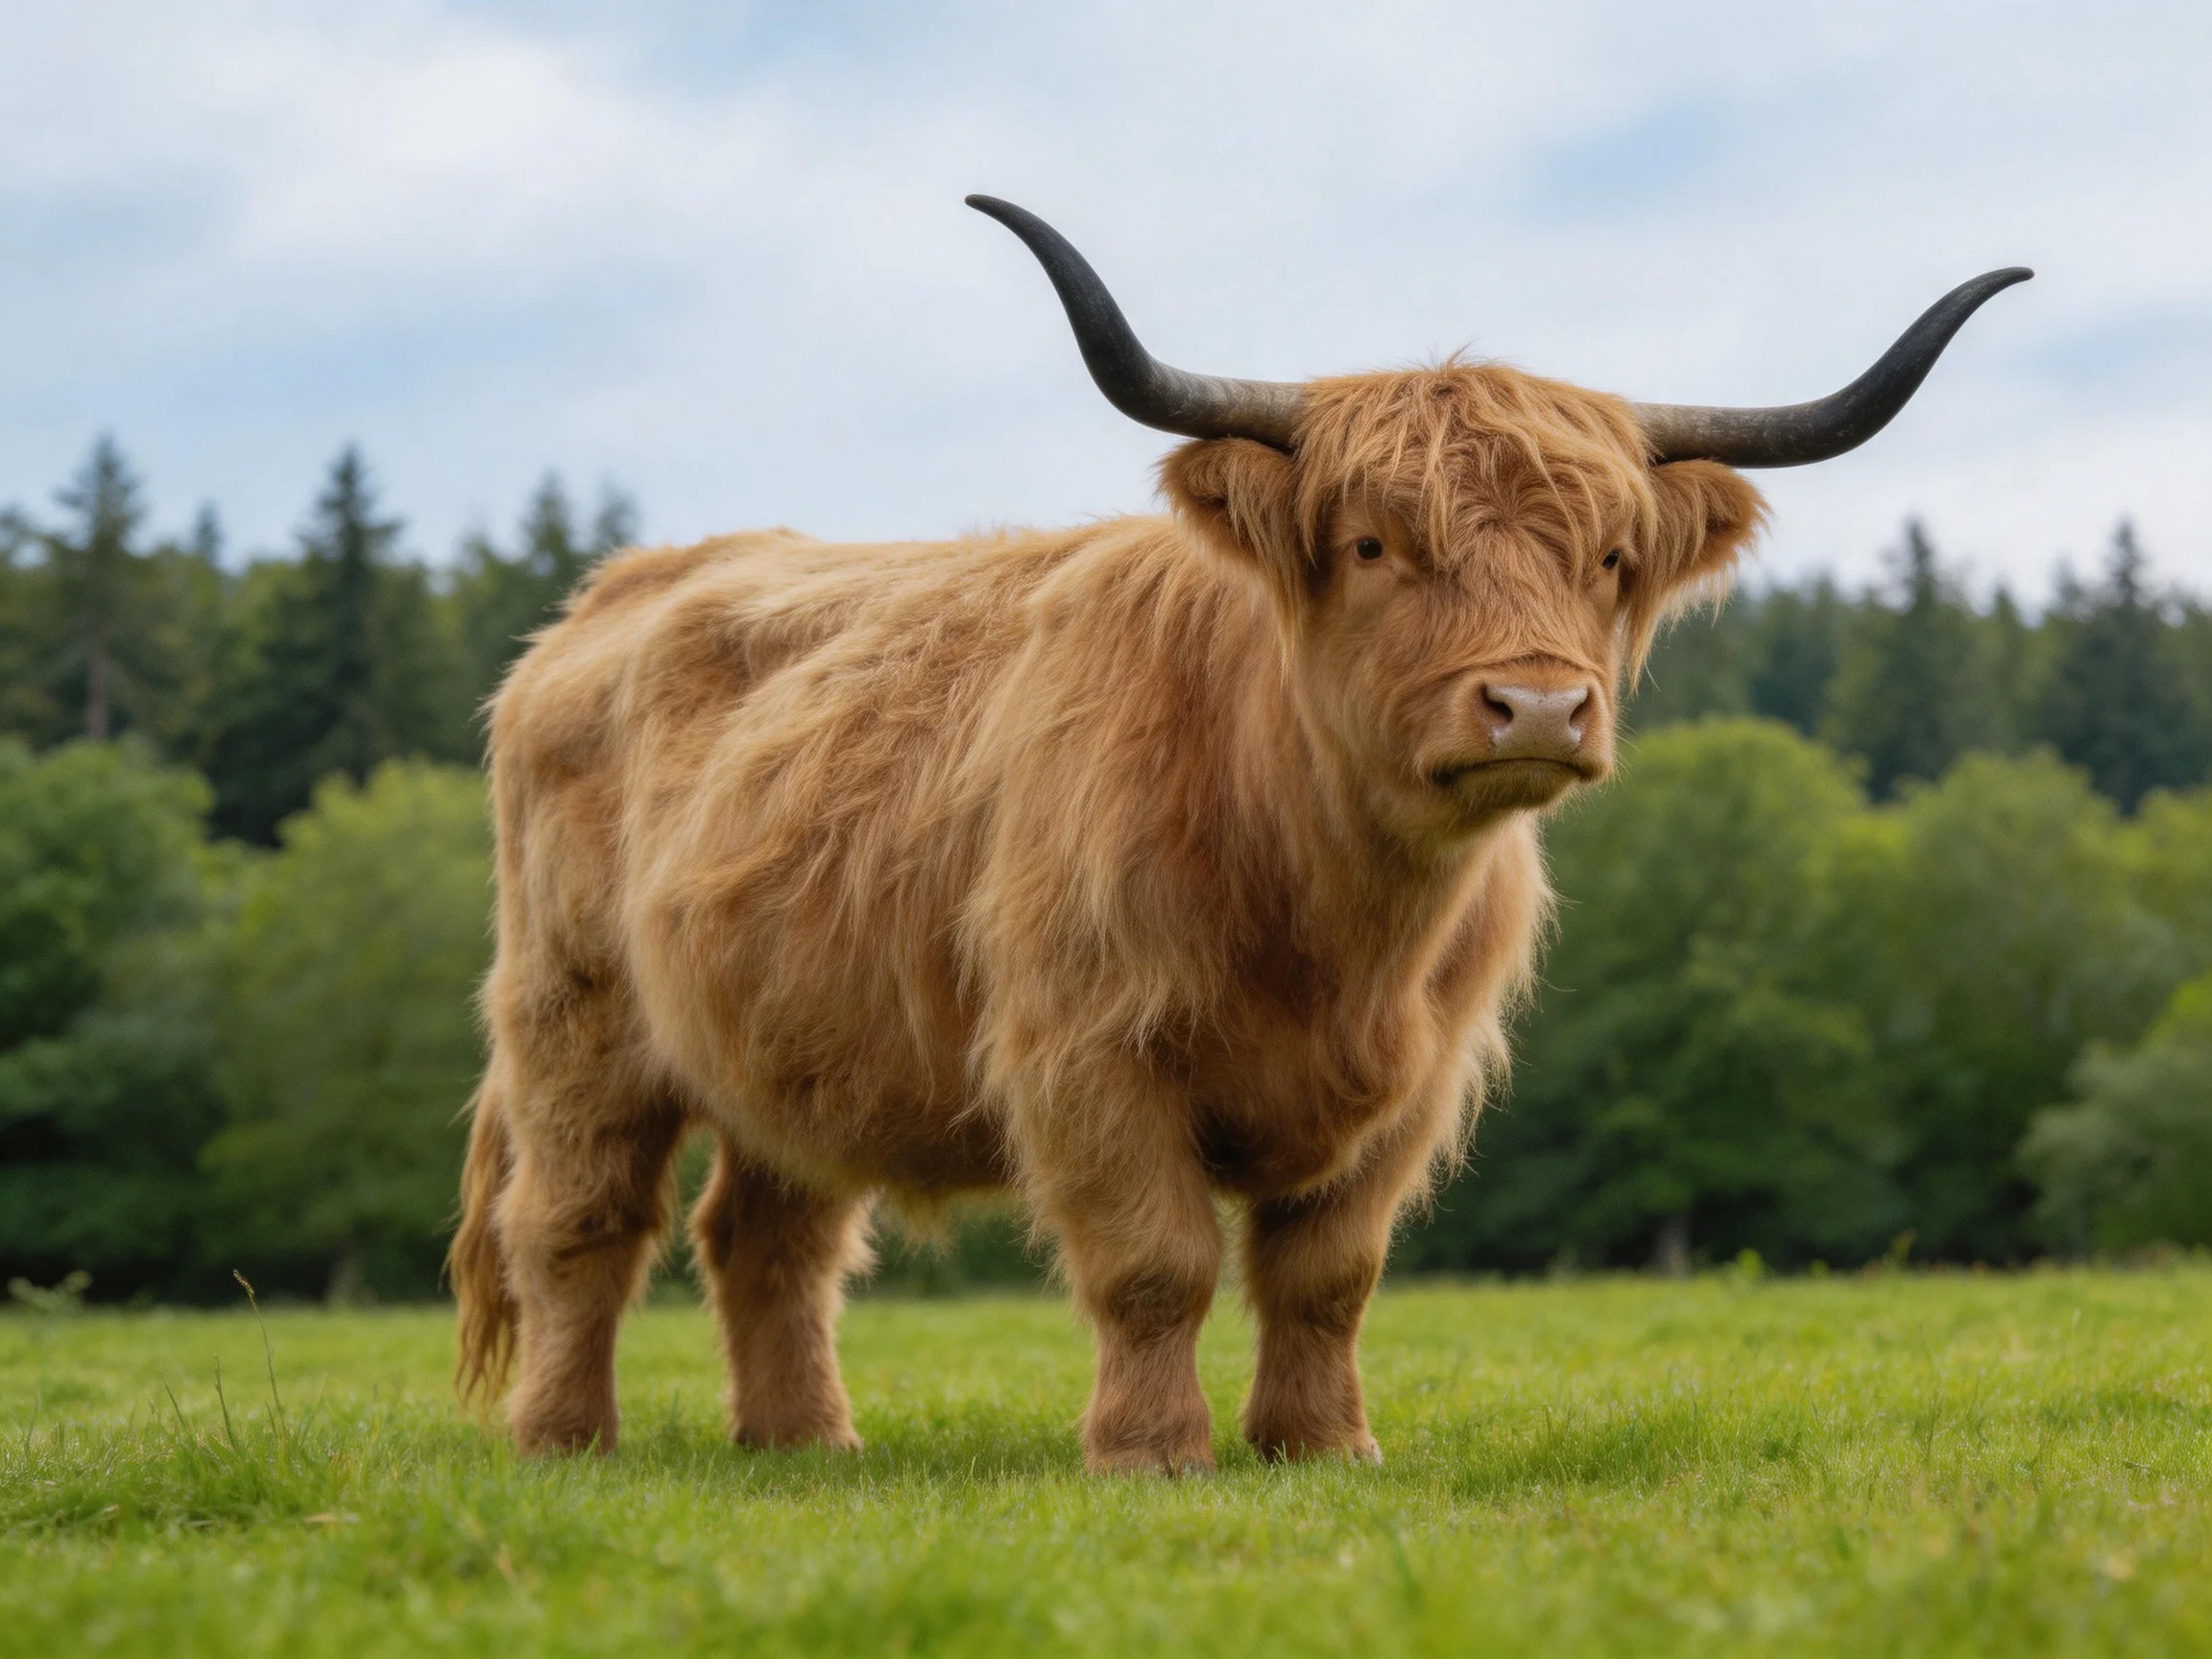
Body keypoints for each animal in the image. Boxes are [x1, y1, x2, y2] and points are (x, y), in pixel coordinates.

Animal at [450, 196, 2026, 1472]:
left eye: (1611, 557)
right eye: (1377, 545)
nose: (1536, 704)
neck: (1331, 911)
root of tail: (615, 591)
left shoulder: (1412, 1084)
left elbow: (1327, 1275)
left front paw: (1322, 1447)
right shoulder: (1089, 1048)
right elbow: (1156, 1264)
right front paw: (1153, 1454)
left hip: (787, 1040)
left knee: (767, 1240)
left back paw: (803, 1442)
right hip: (575, 1018)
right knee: (579, 1225)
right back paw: (565, 1440)